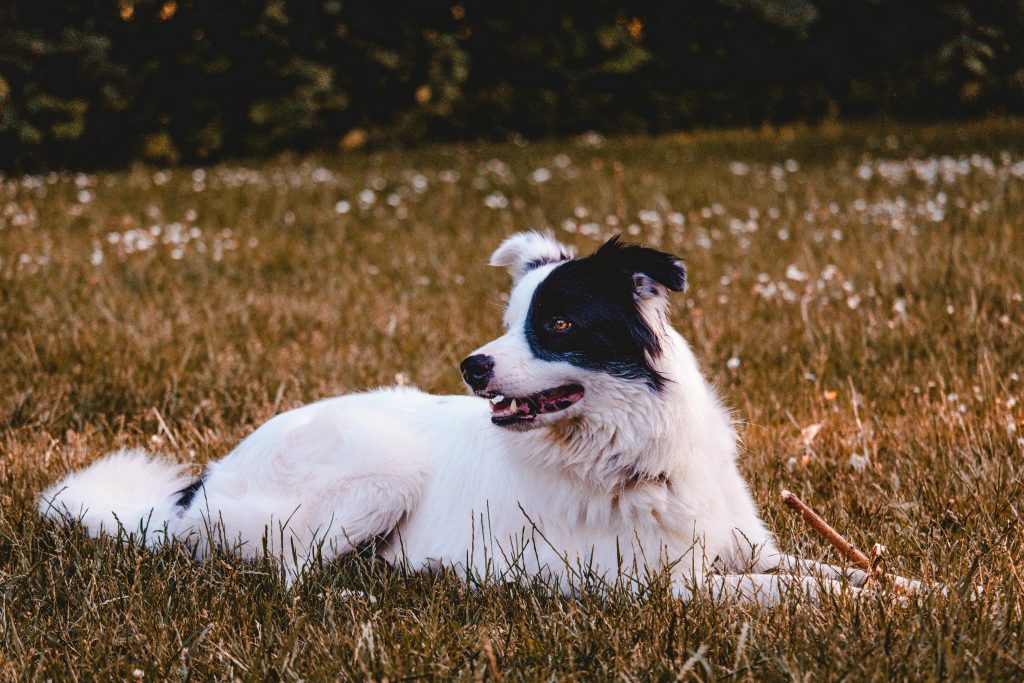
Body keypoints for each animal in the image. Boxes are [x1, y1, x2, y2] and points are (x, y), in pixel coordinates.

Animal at [39, 232, 921, 602]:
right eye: (508, 320)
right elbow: (803, 595)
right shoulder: (666, 584)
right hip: (382, 467)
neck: (626, 451)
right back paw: (358, 597)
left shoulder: (744, 551)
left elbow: (836, 572)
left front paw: (926, 590)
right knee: (288, 570)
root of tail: (203, 484)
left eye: (556, 322)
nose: (473, 366)